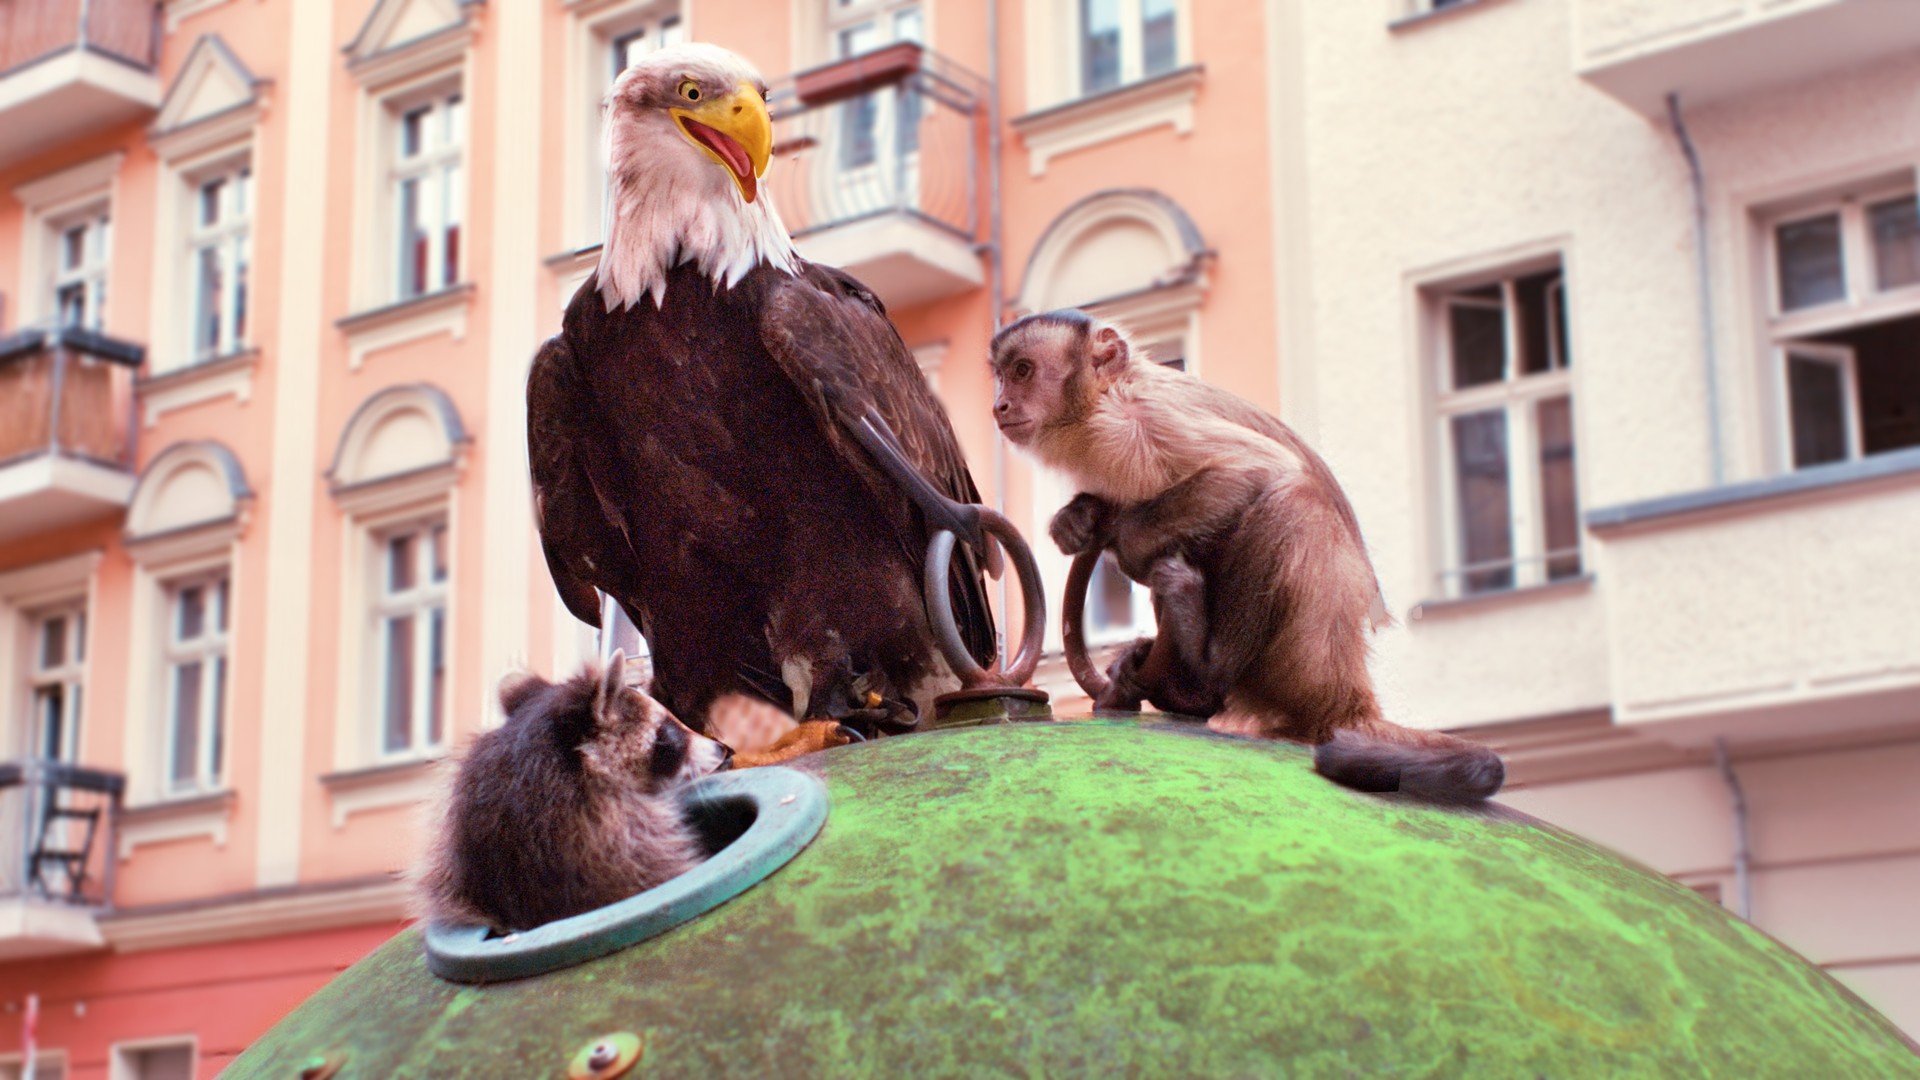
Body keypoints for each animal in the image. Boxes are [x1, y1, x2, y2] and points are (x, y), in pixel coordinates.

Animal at [990, 310, 1504, 803]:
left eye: (1022, 371)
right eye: (1002, 376)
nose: (999, 405)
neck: (1103, 400)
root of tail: (1347, 691)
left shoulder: (1143, 416)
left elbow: (1255, 470)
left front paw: (1119, 538)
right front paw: (1080, 517)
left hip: (1302, 656)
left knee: (1293, 497)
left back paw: (1205, 667)